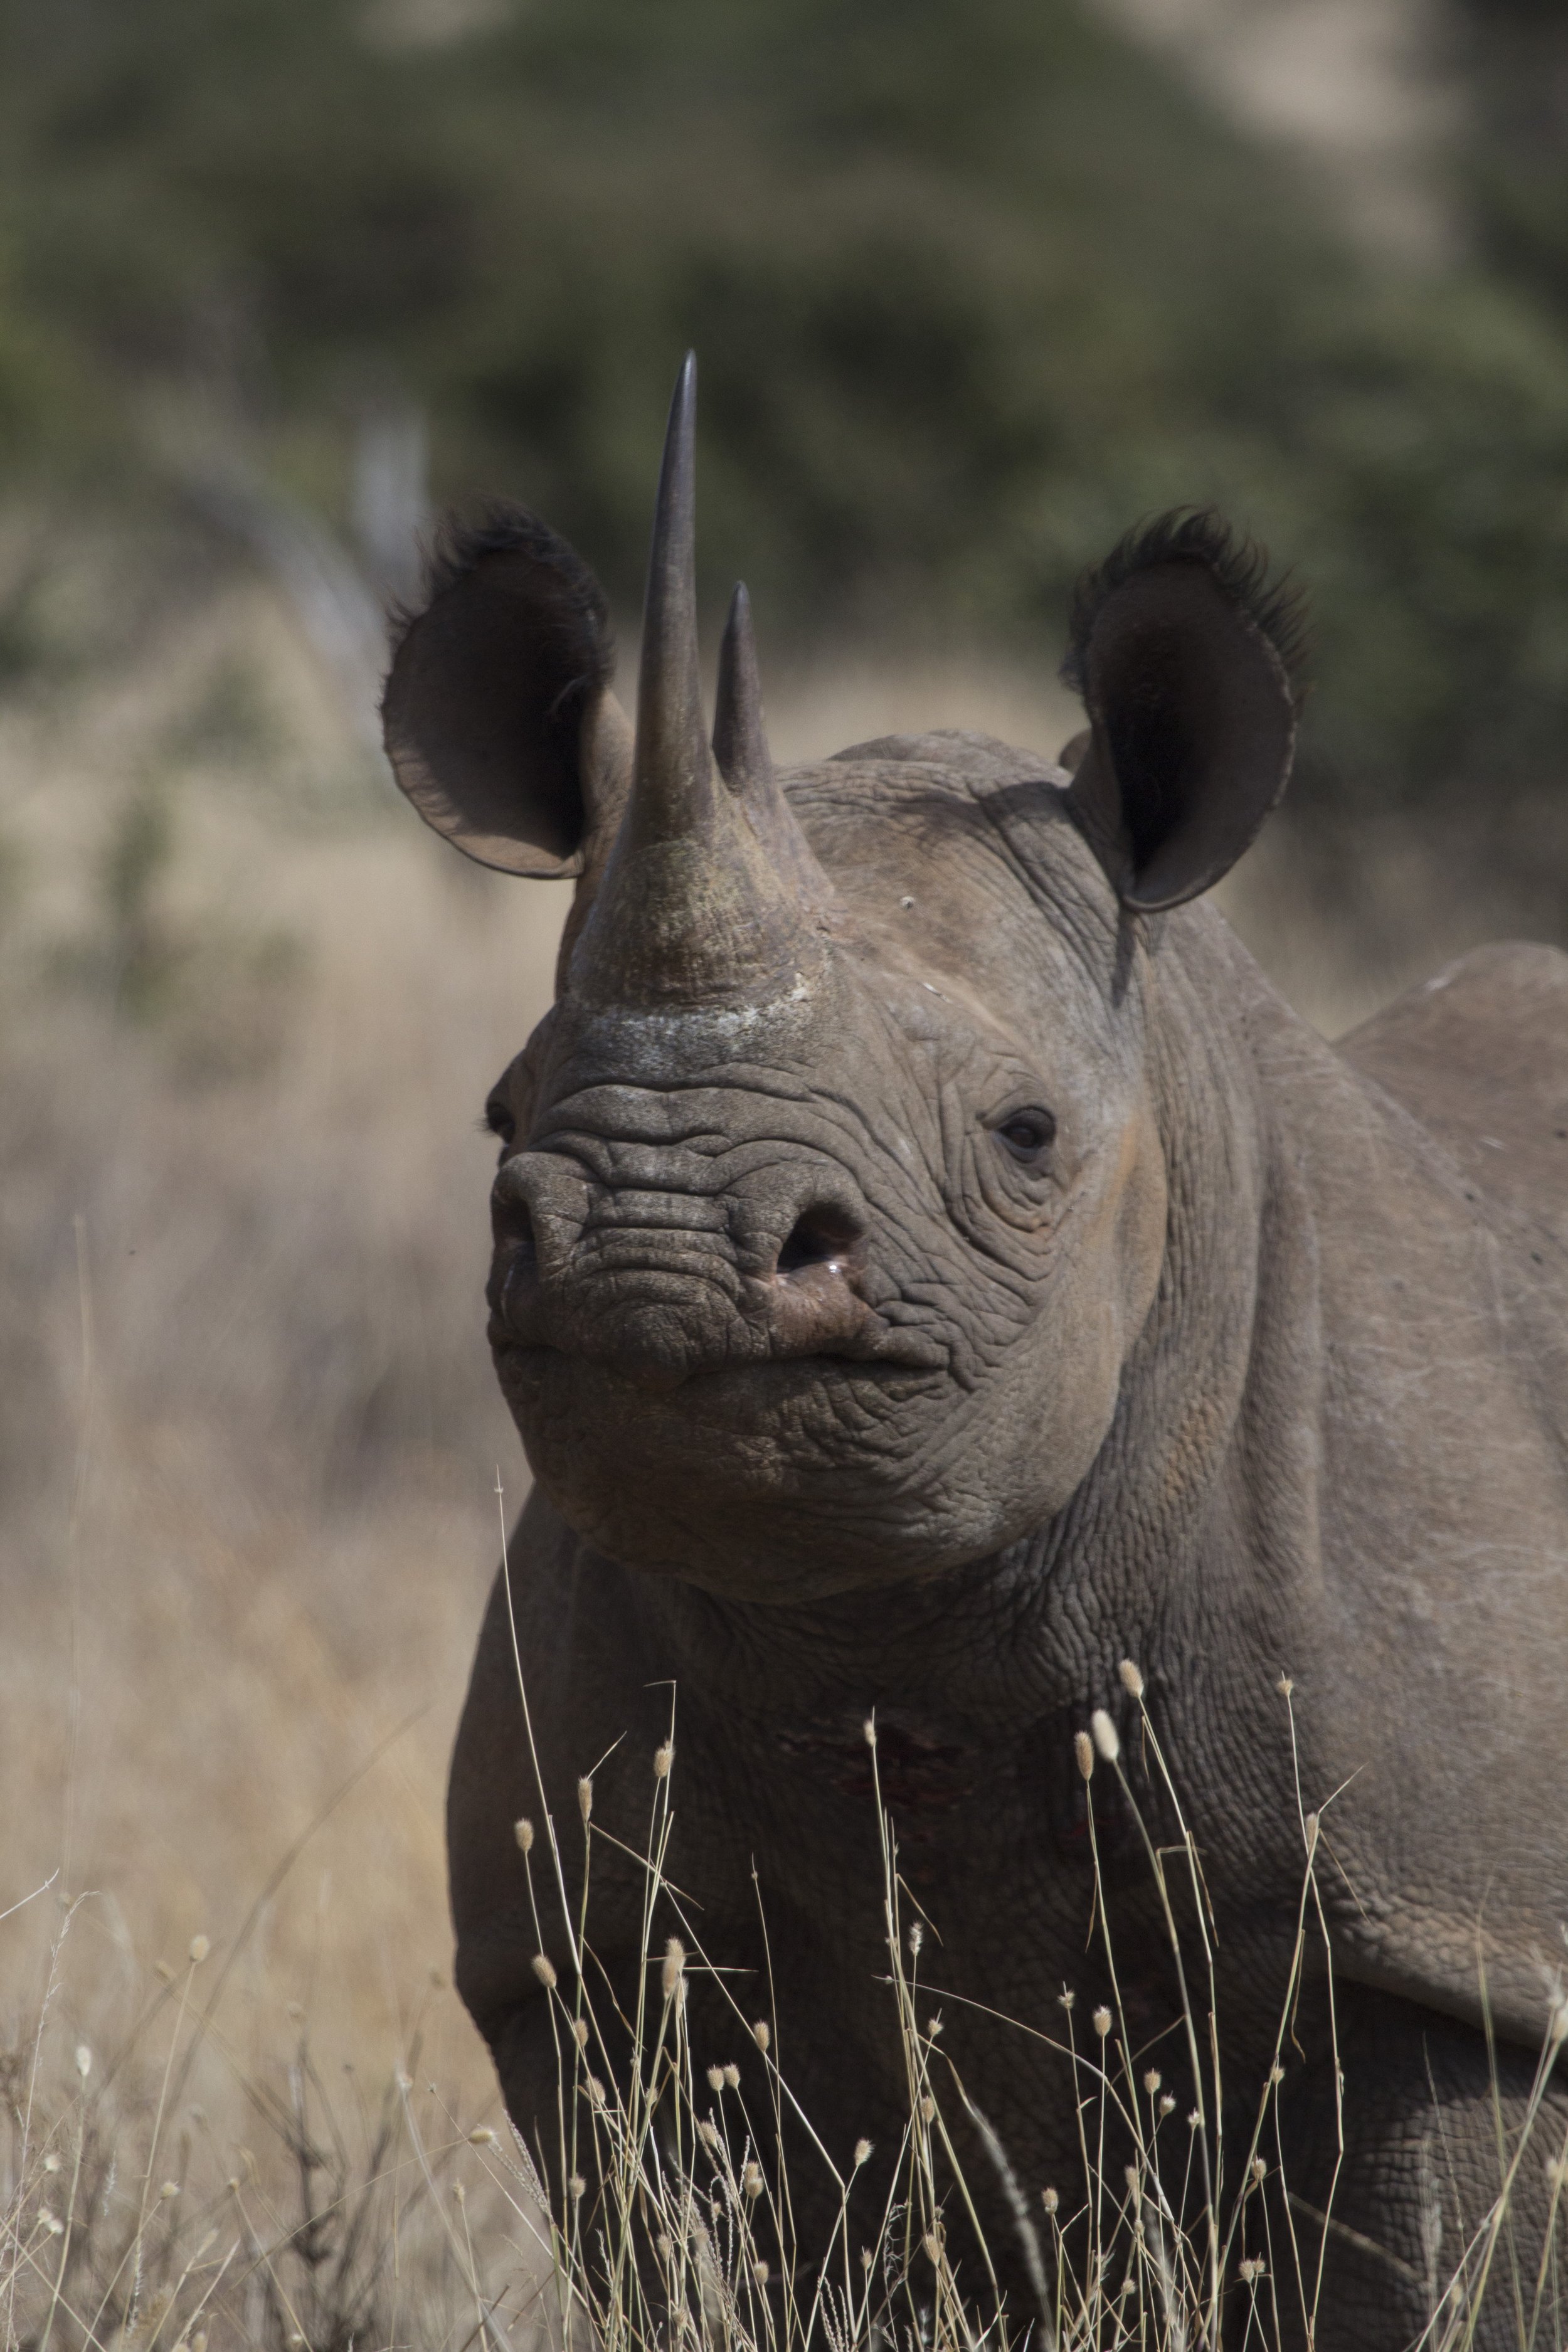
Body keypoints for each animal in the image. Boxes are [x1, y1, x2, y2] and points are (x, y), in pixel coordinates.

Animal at [384, 358, 1568, 2350]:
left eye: (1023, 1134)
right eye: (501, 1112)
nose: (652, 1242)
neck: (887, 1641)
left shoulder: (1457, 1941)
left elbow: (1442, 2274)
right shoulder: (587, 1953)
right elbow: (706, 2240)